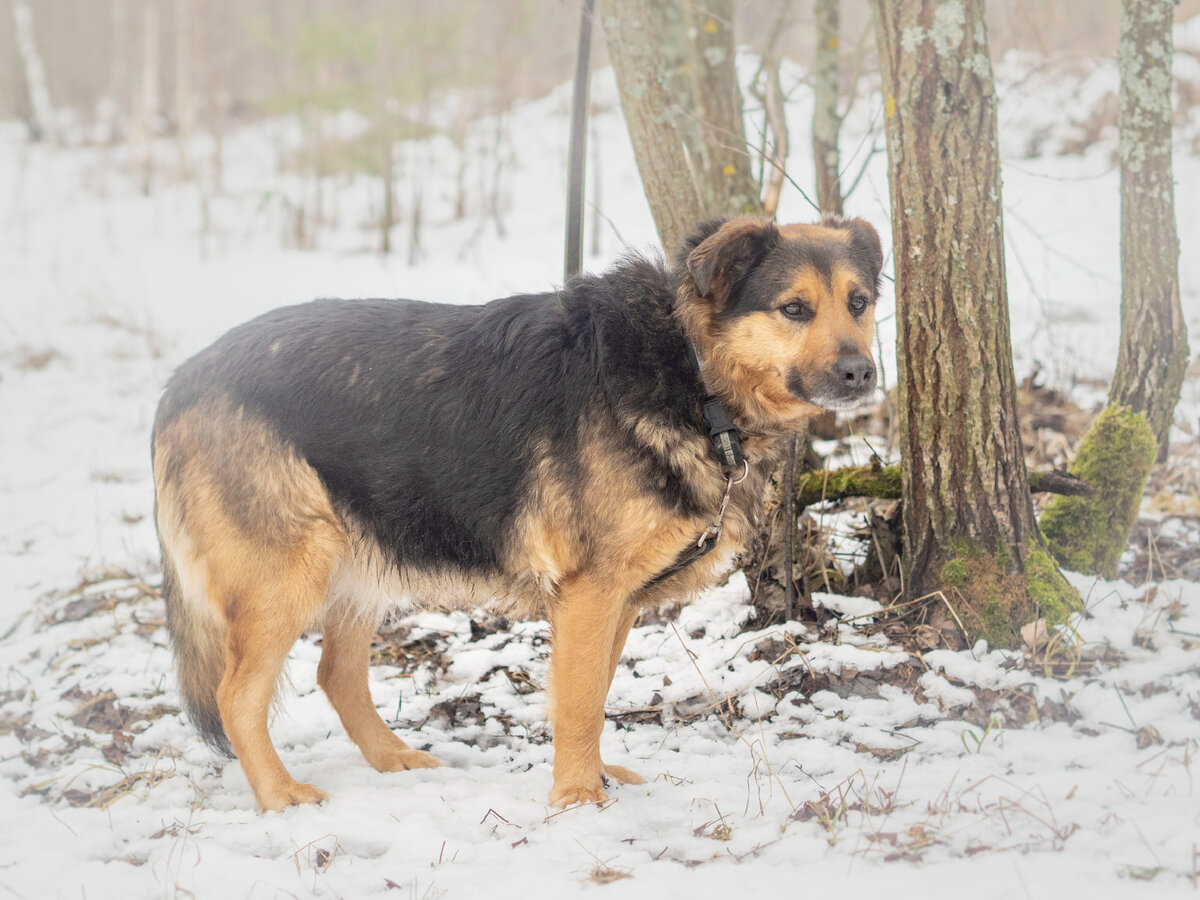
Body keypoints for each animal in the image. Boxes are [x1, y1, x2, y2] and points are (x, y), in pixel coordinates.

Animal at [150, 214, 883, 816]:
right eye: (794, 308)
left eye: (860, 303)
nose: (861, 375)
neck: (692, 373)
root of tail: (182, 380)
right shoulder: (590, 594)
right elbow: (582, 703)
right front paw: (579, 801)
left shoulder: (615, 601)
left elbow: (592, 695)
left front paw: (593, 778)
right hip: (291, 573)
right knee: (237, 697)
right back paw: (280, 797)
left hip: (363, 556)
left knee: (338, 675)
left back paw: (393, 760)